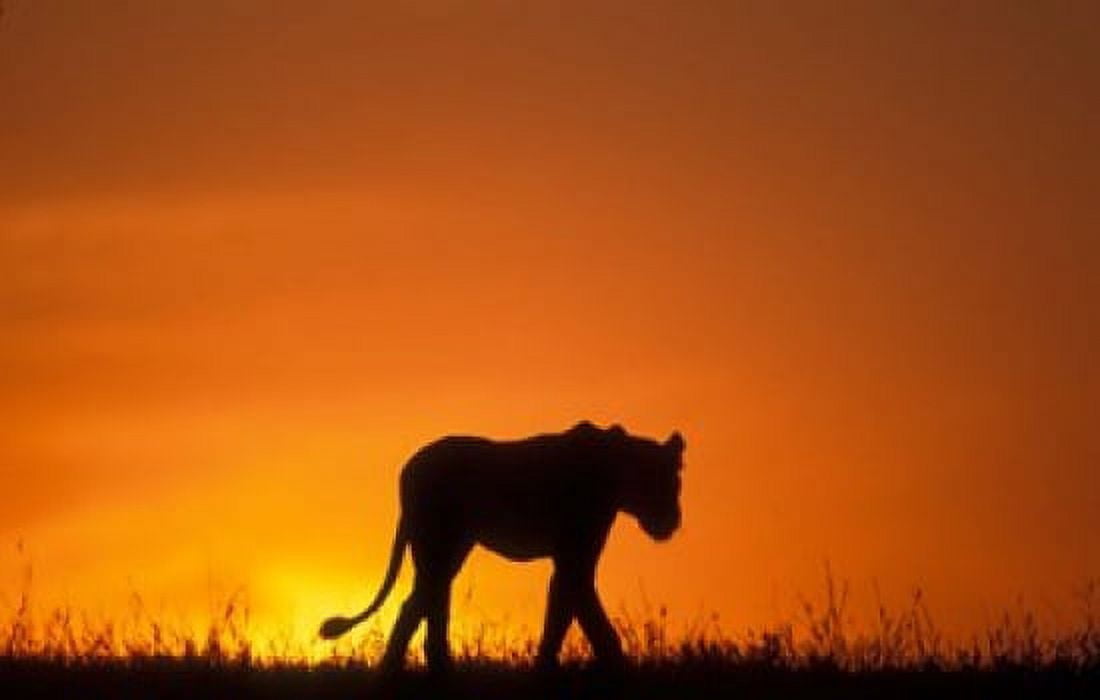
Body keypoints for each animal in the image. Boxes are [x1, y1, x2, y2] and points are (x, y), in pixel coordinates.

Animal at [319, 421, 684, 671]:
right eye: (657, 480)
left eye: (676, 480)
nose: (673, 520)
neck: (614, 473)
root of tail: (408, 469)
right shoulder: (574, 557)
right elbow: (578, 612)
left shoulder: (575, 558)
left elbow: (567, 611)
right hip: (438, 544)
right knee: (419, 604)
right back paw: (405, 671)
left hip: (449, 548)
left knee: (427, 602)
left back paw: (430, 669)